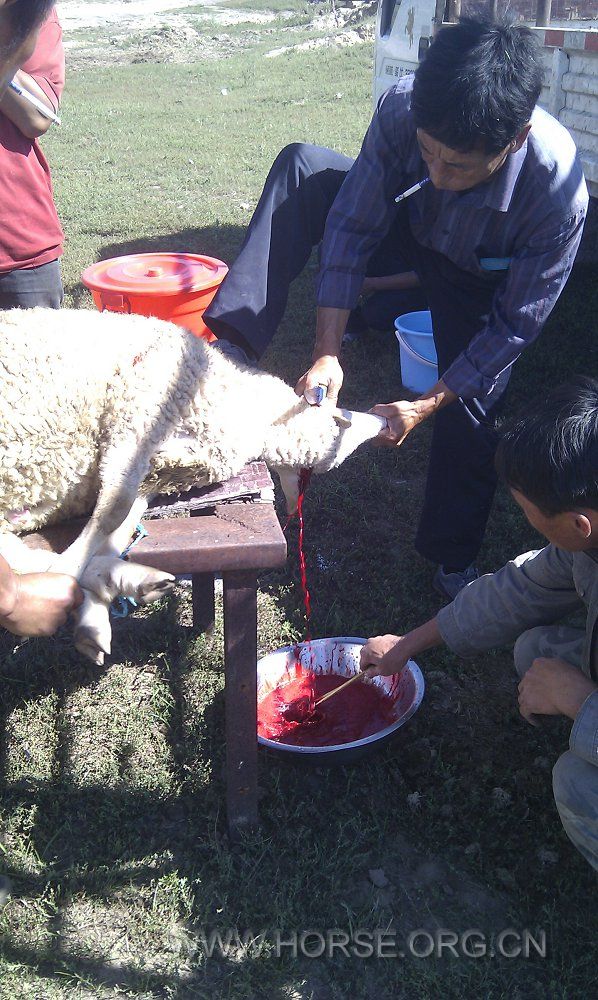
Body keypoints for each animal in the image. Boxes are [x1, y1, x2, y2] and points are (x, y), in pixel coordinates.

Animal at [0, 304, 384, 664]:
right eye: (343, 432)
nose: (382, 421)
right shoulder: (139, 418)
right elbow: (112, 513)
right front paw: (71, 576)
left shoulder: (154, 470)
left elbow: (119, 529)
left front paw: (90, 604)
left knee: (17, 558)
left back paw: (124, 584)